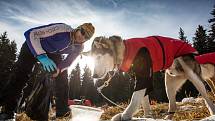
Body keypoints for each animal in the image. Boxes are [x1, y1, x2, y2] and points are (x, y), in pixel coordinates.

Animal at [82, 35, 215, 120]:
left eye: (98, 57)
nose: (93, 76)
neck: (125, 51)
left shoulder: (144, 77)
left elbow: (135, 99)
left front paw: (125, 115)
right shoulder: (141, 80)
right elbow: (145, 102)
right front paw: (147, 117)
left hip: (194, 77)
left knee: (207, 99)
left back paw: (212, 113)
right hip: (169, 83)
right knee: (173, 105)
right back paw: (168, 117)